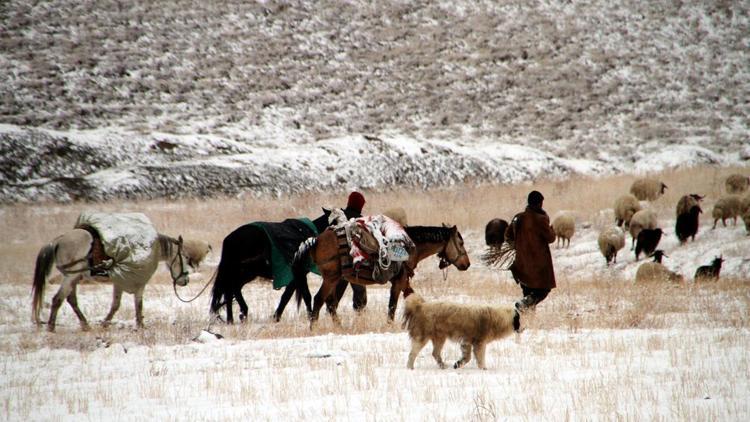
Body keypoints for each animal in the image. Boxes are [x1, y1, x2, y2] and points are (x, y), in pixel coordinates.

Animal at [32, 229, 189, 332]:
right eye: (186, 257)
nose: (185, 280)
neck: (145, 251)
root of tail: (58, 240)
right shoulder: (139, 284)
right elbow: (137, 305)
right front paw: (140, 326)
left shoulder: (119, 283)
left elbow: (116, 305)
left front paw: (106, 324)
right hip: (70, 277)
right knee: (57, 299)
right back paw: (51, 327)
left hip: (73, 278)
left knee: (71, 300)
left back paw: (85, 325)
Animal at [292, 224, 470, 326]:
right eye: (460, 243)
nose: (466, 264)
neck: (410, 246)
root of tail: (317, 239)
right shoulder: (399, 282)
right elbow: (392, 306)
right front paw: (389, 326)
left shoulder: (403, 282)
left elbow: (414, 298)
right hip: (331, 279)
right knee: (319, 300)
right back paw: (314, 328)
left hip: (335, 280)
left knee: (330, 304)